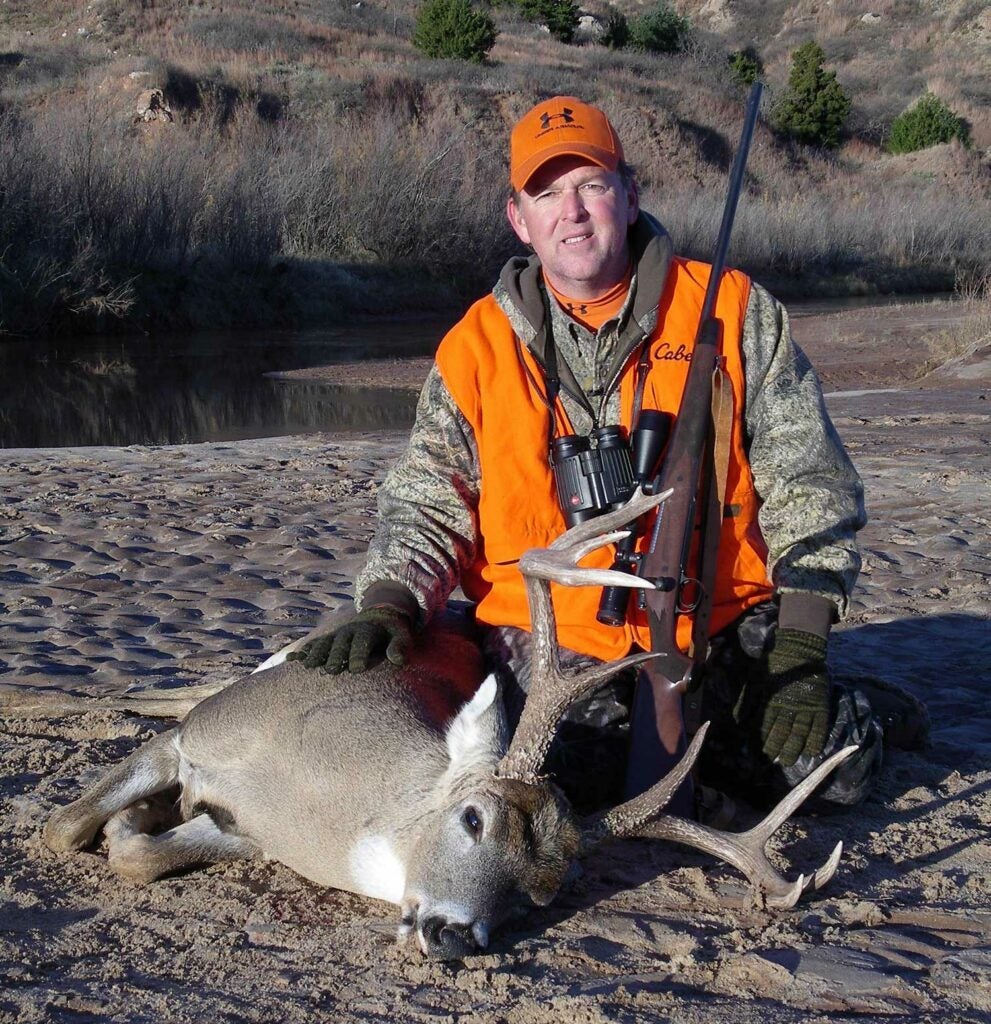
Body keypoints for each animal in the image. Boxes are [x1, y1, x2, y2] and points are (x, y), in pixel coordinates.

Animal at [42, 489, 855, 958]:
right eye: (473, 818)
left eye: (542, 894)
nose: (454, 934)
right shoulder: (196, 737)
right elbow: (64, 828)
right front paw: (126, 815)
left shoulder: (250, 832)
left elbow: (141, 854)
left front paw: (140, 823)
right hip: (228, 691)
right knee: (172, 696)